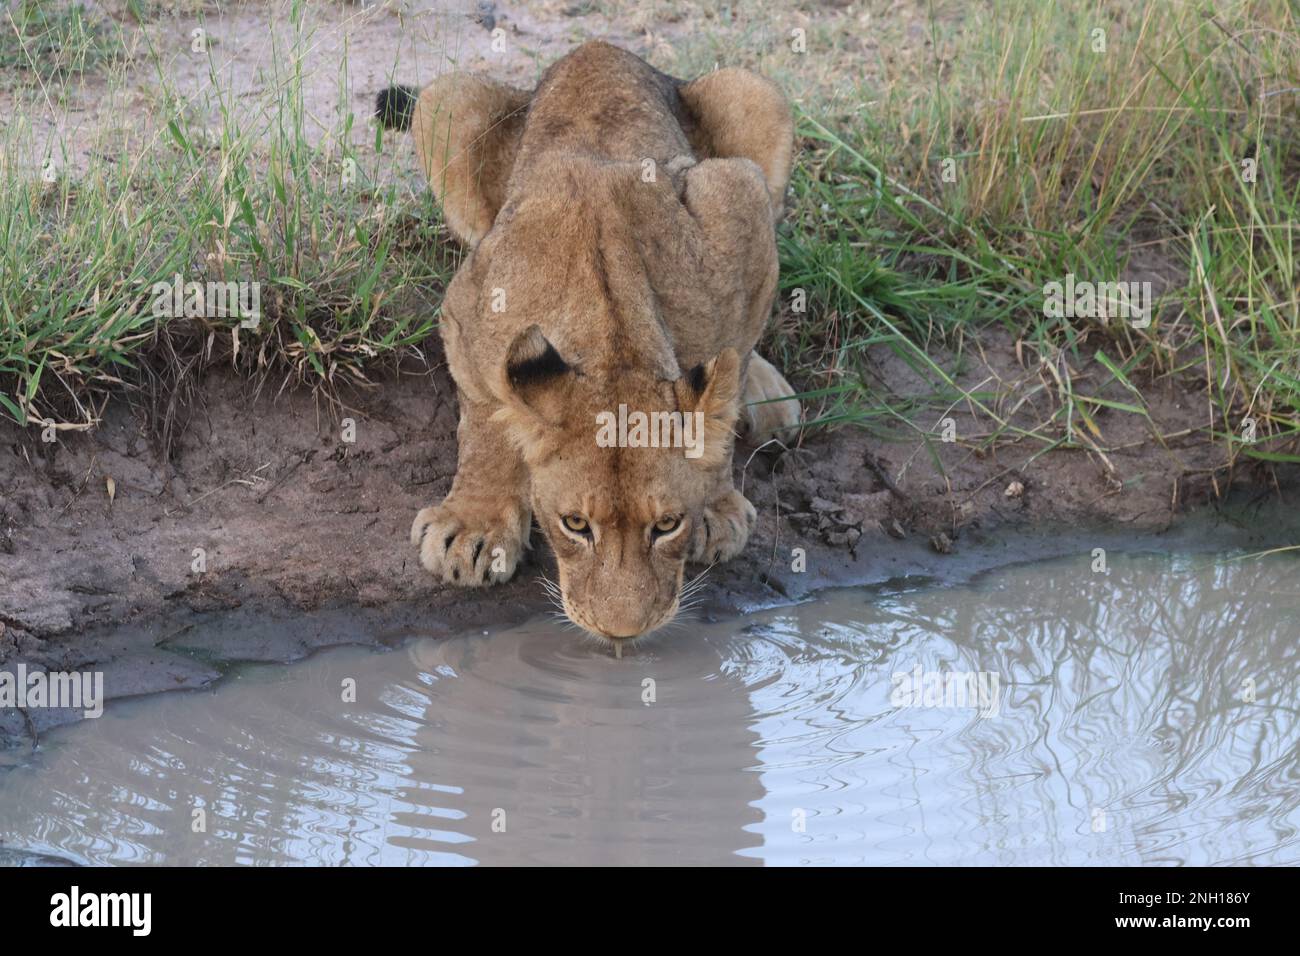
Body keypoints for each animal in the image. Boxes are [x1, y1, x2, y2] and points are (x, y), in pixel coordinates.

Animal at [379, 41, 801, 642]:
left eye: (667, 524)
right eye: (575, 524)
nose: (622, 634)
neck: (612, 336)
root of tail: (596, 48)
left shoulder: (737, 209)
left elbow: (732, 364)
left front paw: (717, 502)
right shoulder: (467, 305)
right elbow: (485, 423)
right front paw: (476, 525)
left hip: (755, 95)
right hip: (445, 103)